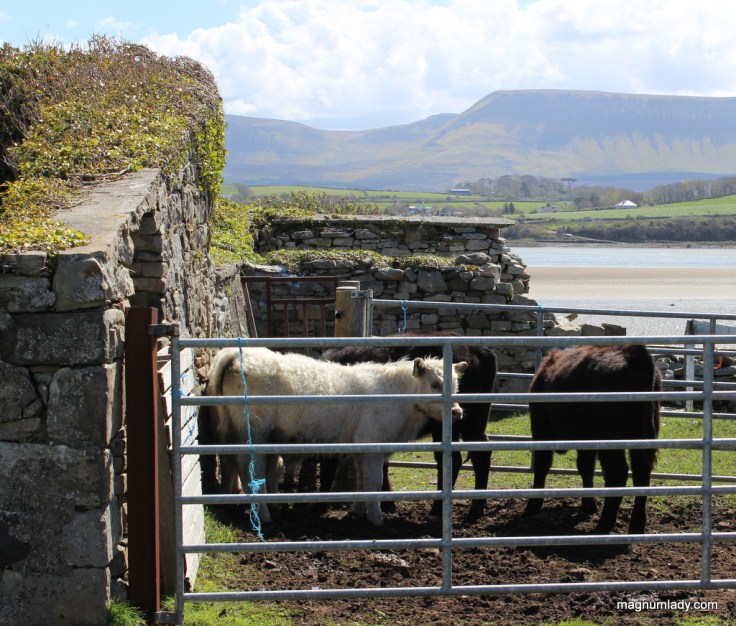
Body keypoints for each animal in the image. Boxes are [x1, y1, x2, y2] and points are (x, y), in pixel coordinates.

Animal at [206, 346, 467, 527]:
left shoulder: (361, 449)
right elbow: (374, 482)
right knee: (251, 469)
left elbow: (362, 482)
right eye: (435, 383)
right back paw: (264, 514)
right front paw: (377, 519)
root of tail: (238, 354)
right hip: (257, 434)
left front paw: (359, 512)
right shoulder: (373, 446)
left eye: (456, 384)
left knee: (232, 464)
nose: (457, 412)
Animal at [323, 331, 497, 518]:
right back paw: (477, 505)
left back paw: (437, 509)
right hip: (474, 422)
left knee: (452, 459)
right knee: (481, 453)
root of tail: (480, 350)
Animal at [523, 344, 661, 534]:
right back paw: (636, 526)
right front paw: (589, 504)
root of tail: (633, 353)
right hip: (642, 438)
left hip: (610, 441)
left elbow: (542, 465)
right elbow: (585, 467)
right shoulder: (586, 440)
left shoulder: (541, 428)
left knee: (617, 473)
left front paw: (533, 506)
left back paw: (604, 525)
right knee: (641, 473)